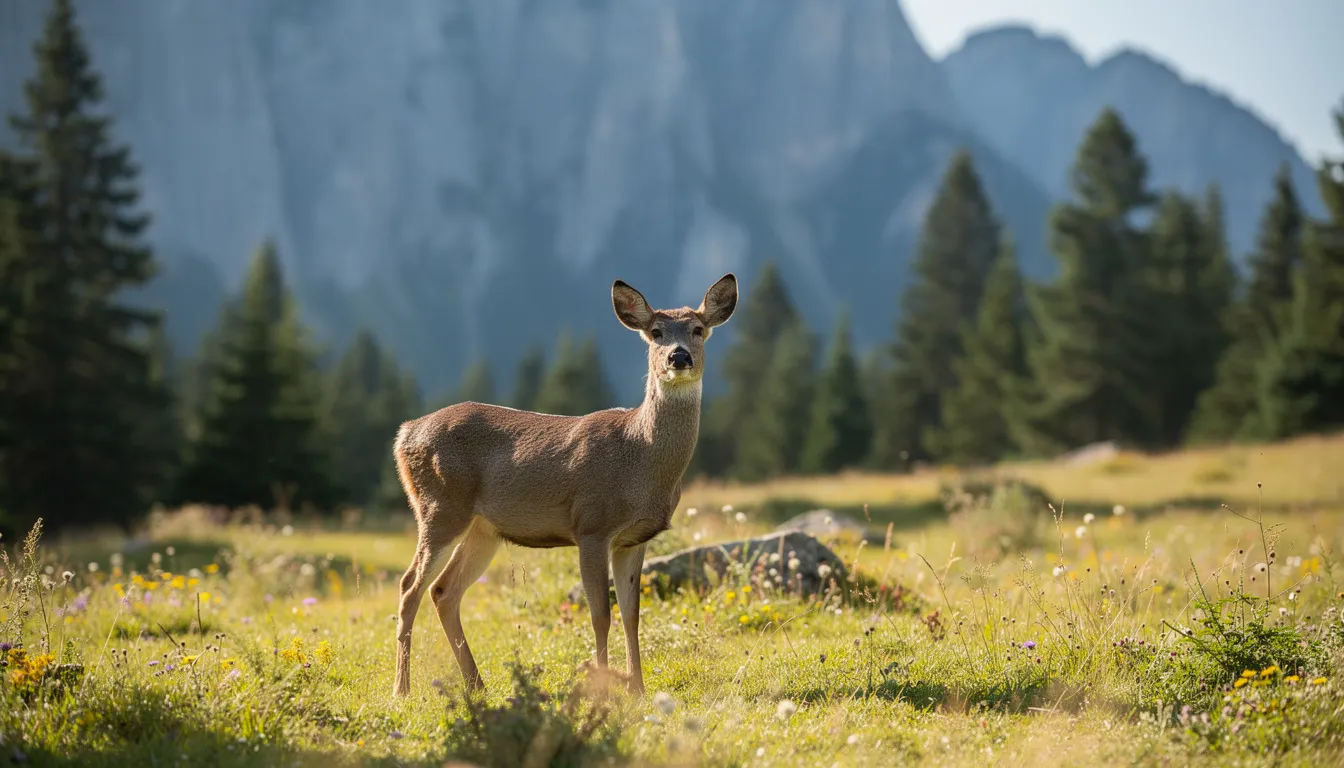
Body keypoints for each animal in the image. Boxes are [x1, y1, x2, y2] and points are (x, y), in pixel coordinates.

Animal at [390, 273, 738, 699]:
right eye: (655, 332)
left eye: (698, 329)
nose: (679, 357)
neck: (638, 458)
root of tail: (404, 434)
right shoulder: (591, 526)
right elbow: (600, 615)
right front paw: (603, 688)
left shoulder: (634, 539)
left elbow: (632, 615)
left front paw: (638, 690)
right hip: (440, 506)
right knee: (409, 586)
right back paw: (402, 689)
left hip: (483, 529)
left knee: (443, 591)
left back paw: (477, 685)